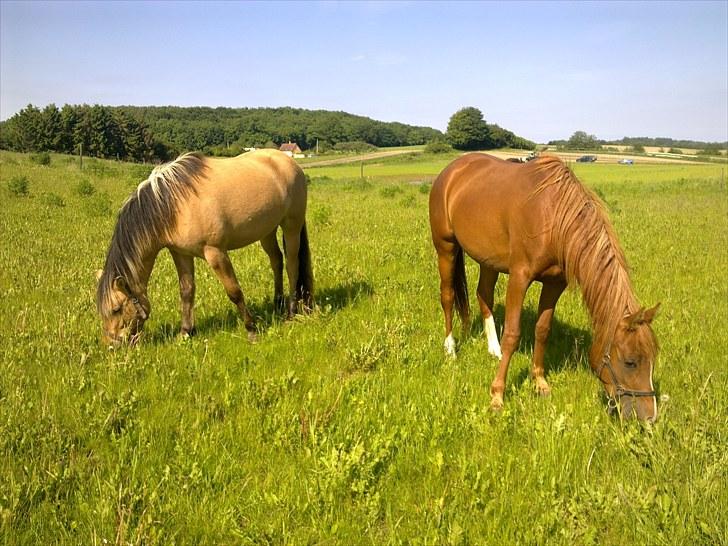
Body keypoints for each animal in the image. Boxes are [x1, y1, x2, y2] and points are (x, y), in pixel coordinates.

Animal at [96, 148, 312, 344]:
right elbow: (186, 291)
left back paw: (291, 312)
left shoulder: (215, 253)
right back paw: (277, 303)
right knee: (276, 260)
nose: (112, 345)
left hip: (291, 225)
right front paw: (185, 332)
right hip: (267, 231)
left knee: (292, 265)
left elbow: (234, 292)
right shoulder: (181, 254)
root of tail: (290, 163)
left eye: (116, 309)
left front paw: (251, 330)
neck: (173, 205)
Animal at [430, 153, 664, 420]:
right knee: (448, 296)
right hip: (445, 248)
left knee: (484, 295)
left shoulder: (554, 283)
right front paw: (497, 396)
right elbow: (513, 334)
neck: (553, 216)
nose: (649, 416)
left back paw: (493, 350)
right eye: (630, 362)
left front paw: (539, 383)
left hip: (488, 261)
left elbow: (542, 330)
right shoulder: (519, 278)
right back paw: (450, 349)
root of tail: (451, 170)